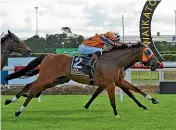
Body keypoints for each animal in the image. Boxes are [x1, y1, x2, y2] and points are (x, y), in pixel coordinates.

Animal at [4, 42, 160, 117]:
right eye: (148, 52)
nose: (157, 64)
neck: (114, 61)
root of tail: (48, 55)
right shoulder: (110, 83)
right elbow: (112, 99)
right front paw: (116, 114)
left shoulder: (118, 81)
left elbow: (135, 89)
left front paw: (151, 100)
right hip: (47, 77)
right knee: (29, 86)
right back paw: (12, 102)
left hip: (55, 80)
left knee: (33, 91)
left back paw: (18, 110)